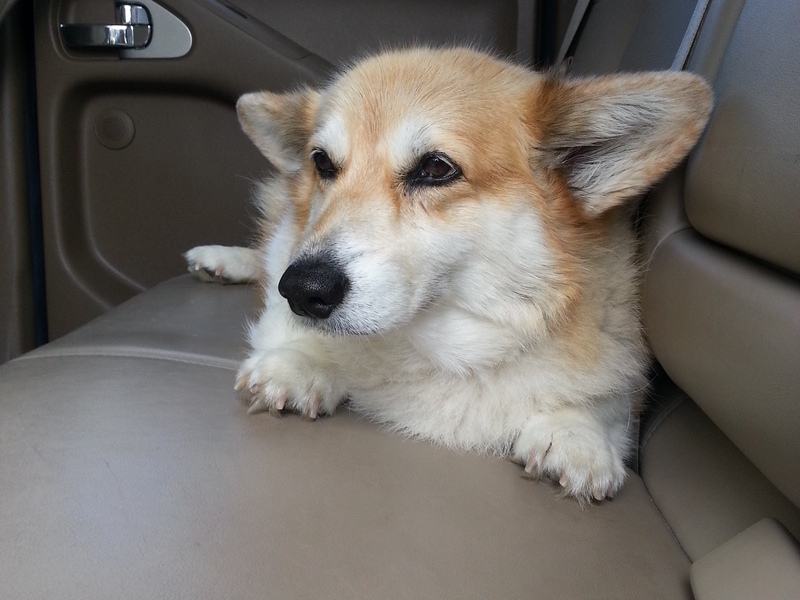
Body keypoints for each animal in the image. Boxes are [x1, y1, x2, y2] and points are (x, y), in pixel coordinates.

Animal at [184, 47, 708, 502]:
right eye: (322, 163)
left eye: (436, 168)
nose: (302, 290)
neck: (437, 346)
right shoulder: (289, 273)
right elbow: (296, 331)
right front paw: (302, 363)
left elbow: (604, 401)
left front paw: (576, 434)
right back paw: (221, 259)